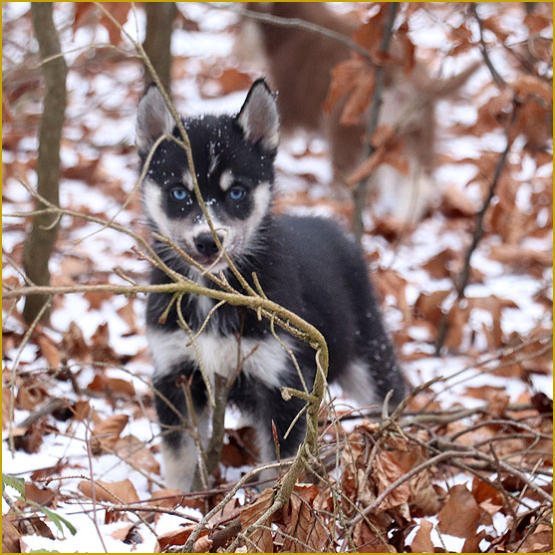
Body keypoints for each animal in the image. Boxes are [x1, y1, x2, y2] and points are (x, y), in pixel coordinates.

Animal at [135, 79, 404, 490]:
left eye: (237, 192)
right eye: (179, 192)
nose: (208, 241)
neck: (215, 293)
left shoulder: (284, 379)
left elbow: (279, 464)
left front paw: (273, 504)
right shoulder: (174, 372)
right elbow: (179, 456)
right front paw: (176, 503)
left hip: (365, 351)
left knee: (392, 391)